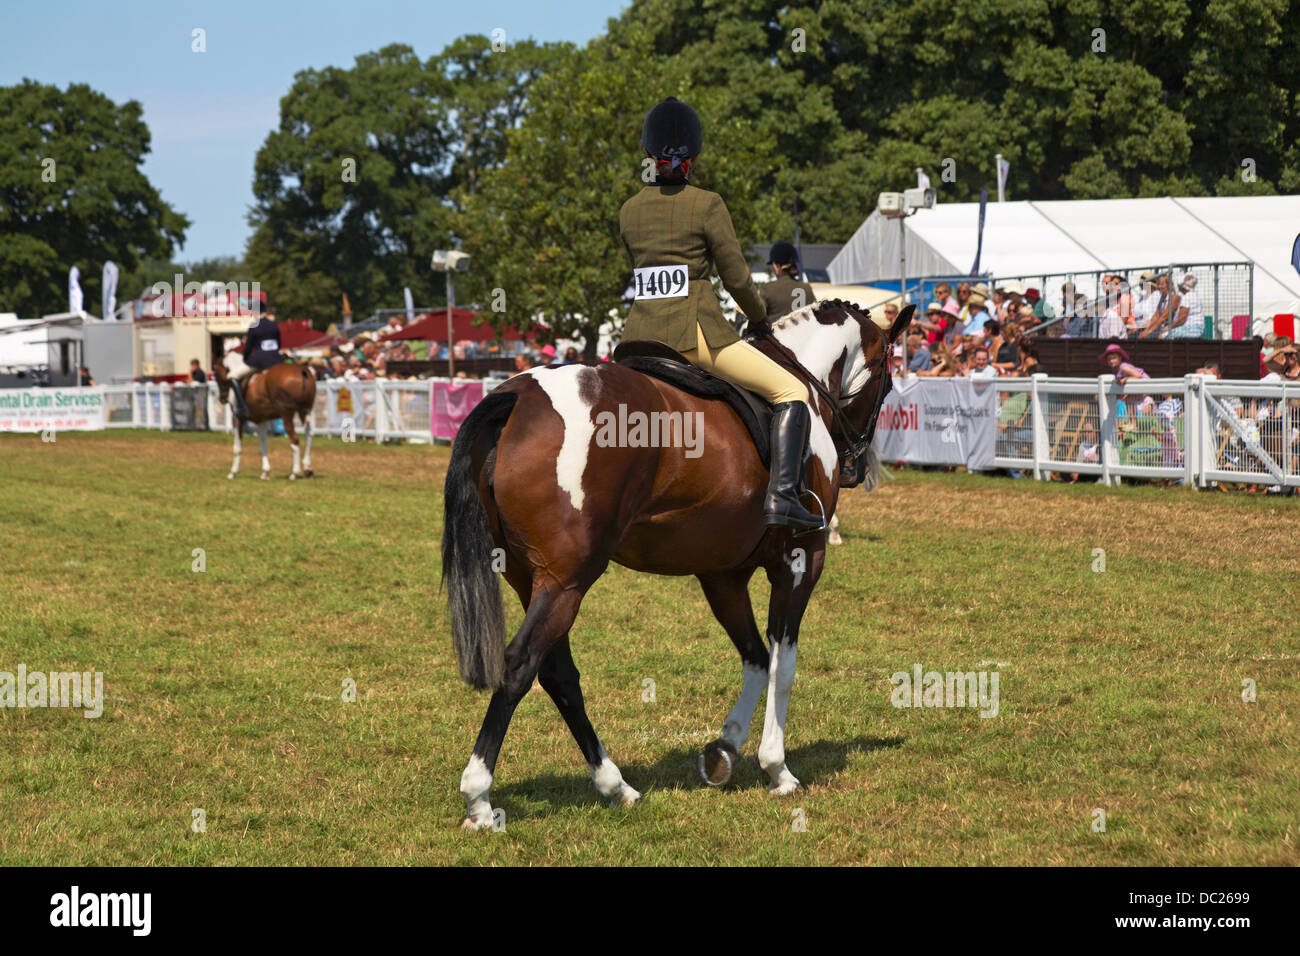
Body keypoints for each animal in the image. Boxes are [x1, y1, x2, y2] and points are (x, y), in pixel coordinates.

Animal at [213, 353, 317, 481]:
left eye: (216, 374)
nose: (222, 399)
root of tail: (302, 370)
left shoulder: (237, 419)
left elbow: (237, 448)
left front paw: (233, 472)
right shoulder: (261, 420)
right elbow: (263, 446)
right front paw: (265, 472)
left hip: (286, 414)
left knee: (294, 439)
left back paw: (294, 473)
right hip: (305, 411)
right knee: (309, 435)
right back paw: (308, 469)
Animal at [441, 300, 909, 832]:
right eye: (887, 384)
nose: (856, 467)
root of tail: (517, 397)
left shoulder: (722, 574)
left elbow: (755, 657)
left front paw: (724, 750)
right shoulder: (802, 558)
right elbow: (782, 663)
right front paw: (777, 768)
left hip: (530, 578)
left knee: (558, 674)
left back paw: (616, 786)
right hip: (567, 582)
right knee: (520, 663)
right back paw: (479, 797)